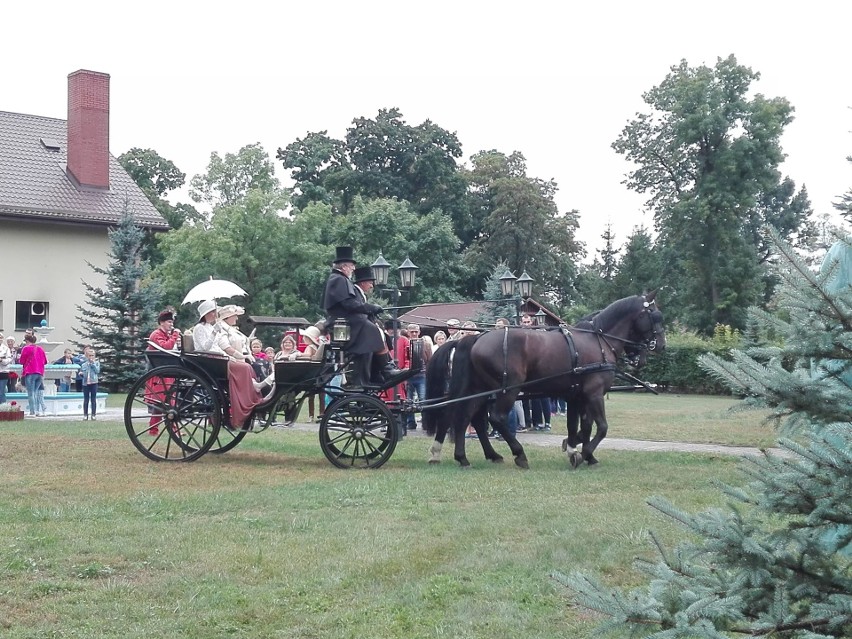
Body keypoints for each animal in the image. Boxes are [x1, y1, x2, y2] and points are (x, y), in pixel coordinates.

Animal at [420, 292, 664, 468]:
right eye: (655, 315)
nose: (661, 345)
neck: (598, 341)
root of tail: (477, 338)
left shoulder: (576, 396)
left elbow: (580, 425)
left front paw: (576, 449)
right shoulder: (593, 393)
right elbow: (601, 427)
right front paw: (583, 452)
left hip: (479, 388)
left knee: (467, 418)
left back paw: (467, 456)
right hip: (508, 389)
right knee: (493, 418)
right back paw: (518, 454)